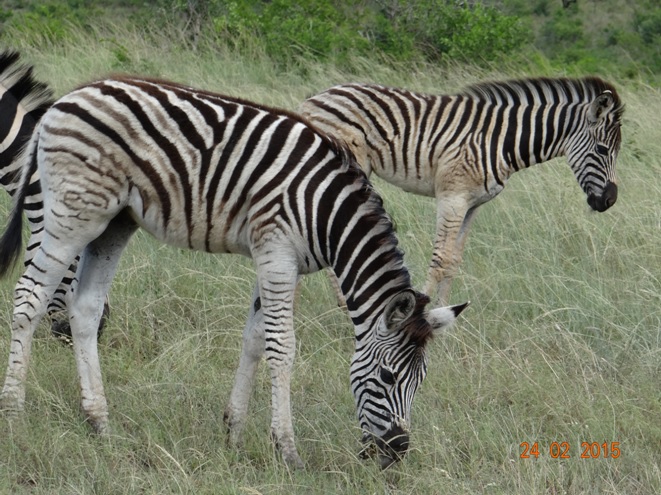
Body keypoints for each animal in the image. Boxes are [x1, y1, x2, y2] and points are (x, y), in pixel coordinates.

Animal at [300, 77, 624, 304]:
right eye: (602, 149)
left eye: (616, 151)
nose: (609, 201)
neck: (502, 141)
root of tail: (315, 98)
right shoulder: (452, 197)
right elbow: (440, 259)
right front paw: (421, 312)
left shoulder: (473, 204)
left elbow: (454, 260)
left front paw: (445, 318)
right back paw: (343, 306)